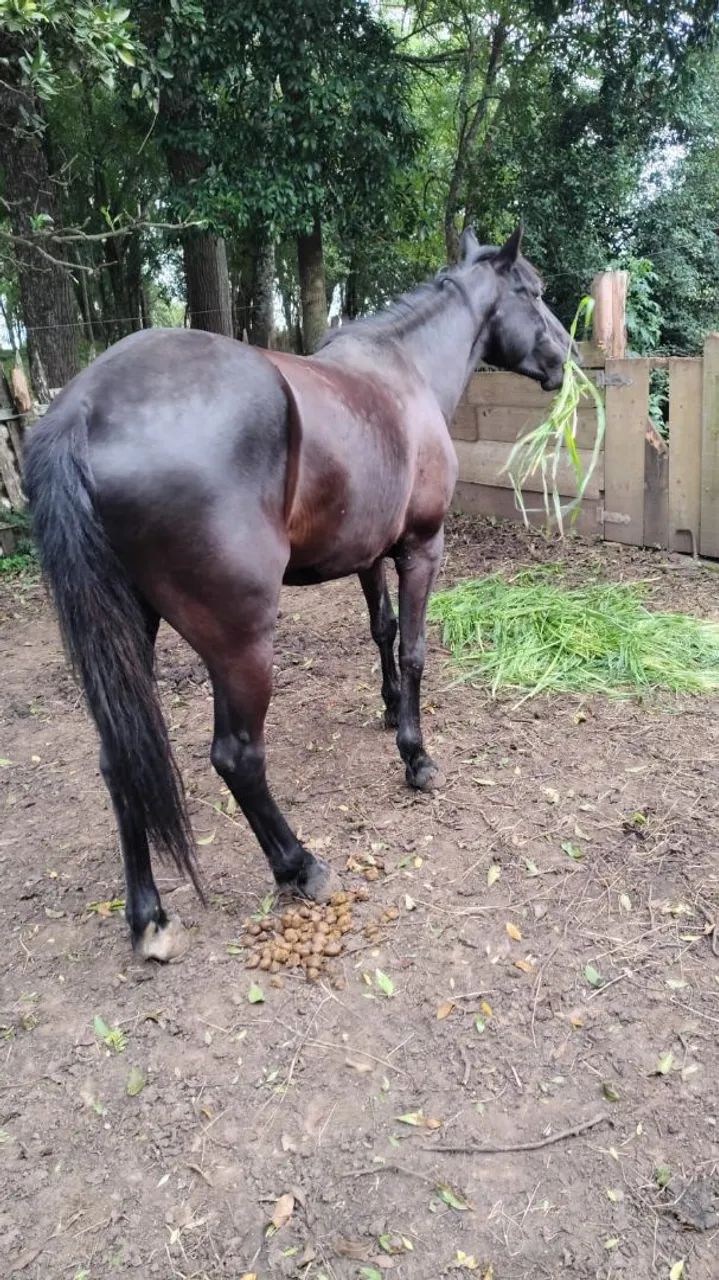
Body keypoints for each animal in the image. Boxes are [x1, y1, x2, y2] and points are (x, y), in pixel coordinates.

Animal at [25, 224, 573, 960]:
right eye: (533, 292)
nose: (566, 358)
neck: (404, 373)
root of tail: (85, 408)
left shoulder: (369, 554)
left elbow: (381, 630)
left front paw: (388, 711)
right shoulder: (421, 548)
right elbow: (415, 650)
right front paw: (416, 757)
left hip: (126, 633)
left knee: (119, 760)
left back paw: (148, 917)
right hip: (241, 645)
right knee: (236, 756)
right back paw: (299, 865)